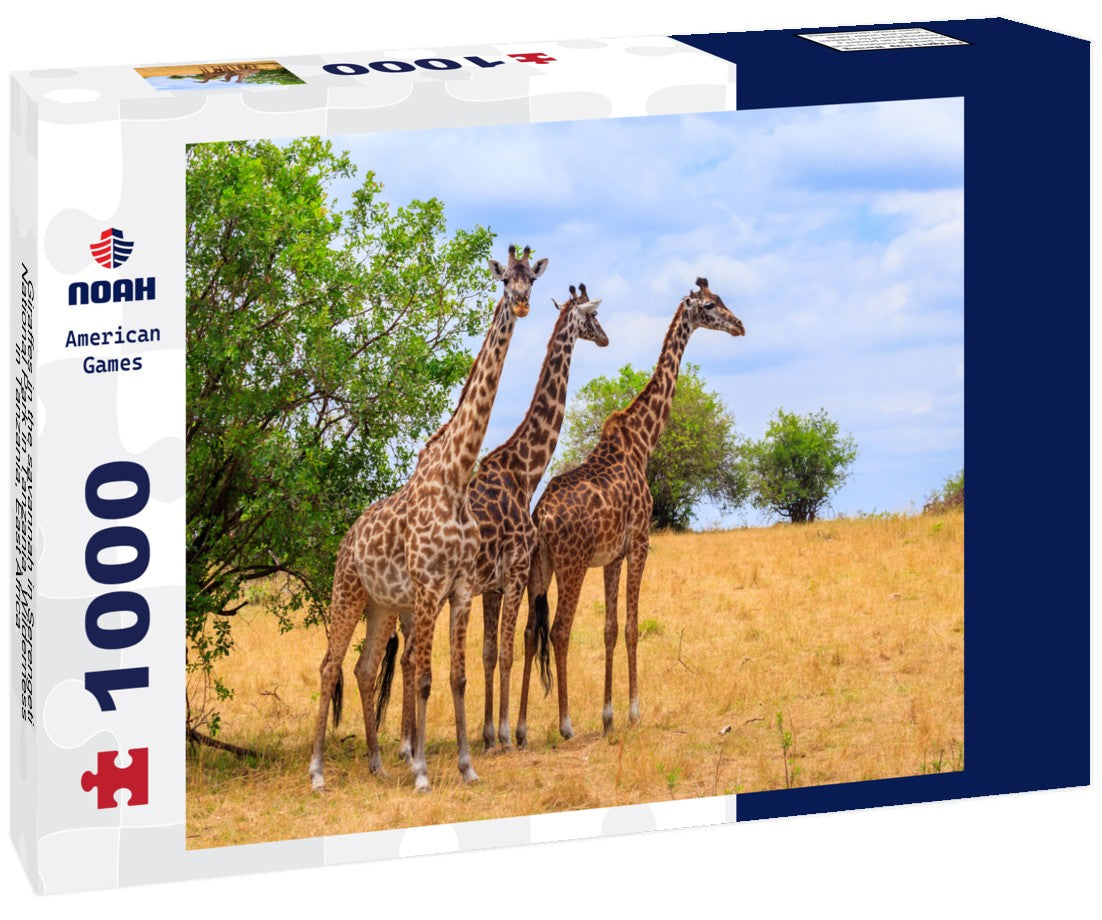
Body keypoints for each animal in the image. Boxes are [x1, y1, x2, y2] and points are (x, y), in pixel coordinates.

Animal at [308, 245, 547, 794]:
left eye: (533, 279)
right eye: (505, 280)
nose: (522, 304)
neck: (455, 477)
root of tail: (347, 539)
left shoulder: (458, 588)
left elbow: (456, 676)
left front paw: (466, 766)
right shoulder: (427, 585)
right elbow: (422, 676)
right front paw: (420, 772)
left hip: (379, 605)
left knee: (363, 667)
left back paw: (375, 764)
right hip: (347, 591)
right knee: (330, 665)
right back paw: (317, 773)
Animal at [380, 284, 609, 755]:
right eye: (594, 318)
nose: (606, 339)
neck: (525, 471)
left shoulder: (491, 586)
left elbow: (487, 654)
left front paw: (487, 733)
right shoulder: (516, 572)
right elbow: (504, 651)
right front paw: (505, 734)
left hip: (411, 603)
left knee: (406, 657)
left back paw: (406, 743)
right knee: (410, 657)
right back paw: (409, 745)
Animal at [515, 278, 744, 746]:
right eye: (711, 306)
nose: (740, 325)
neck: (643, 440)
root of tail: (541, 518)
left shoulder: (611, 557)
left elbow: (609, 628)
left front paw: (608, 716)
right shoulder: (639, 543)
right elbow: (633, 626)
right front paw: (635, 712)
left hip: (538, 567)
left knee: (530, 632)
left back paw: (523, 728)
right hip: (570, 565)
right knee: (560, 630)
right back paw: (565, 724)